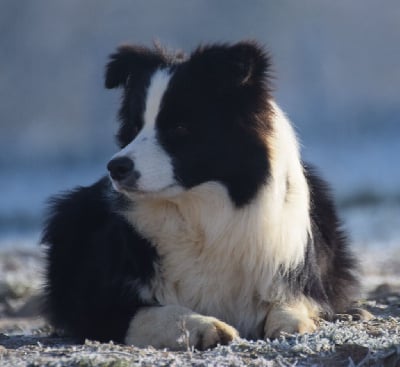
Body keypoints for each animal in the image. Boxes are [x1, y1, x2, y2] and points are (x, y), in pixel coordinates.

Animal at [42, 41, 358, 350]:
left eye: (180, 127)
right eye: (134, 127)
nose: (116, 168)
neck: (198, 213)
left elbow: (294, 302)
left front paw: (294, 324)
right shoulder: (96, 301)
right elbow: (151, 312)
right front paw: (205, 327)